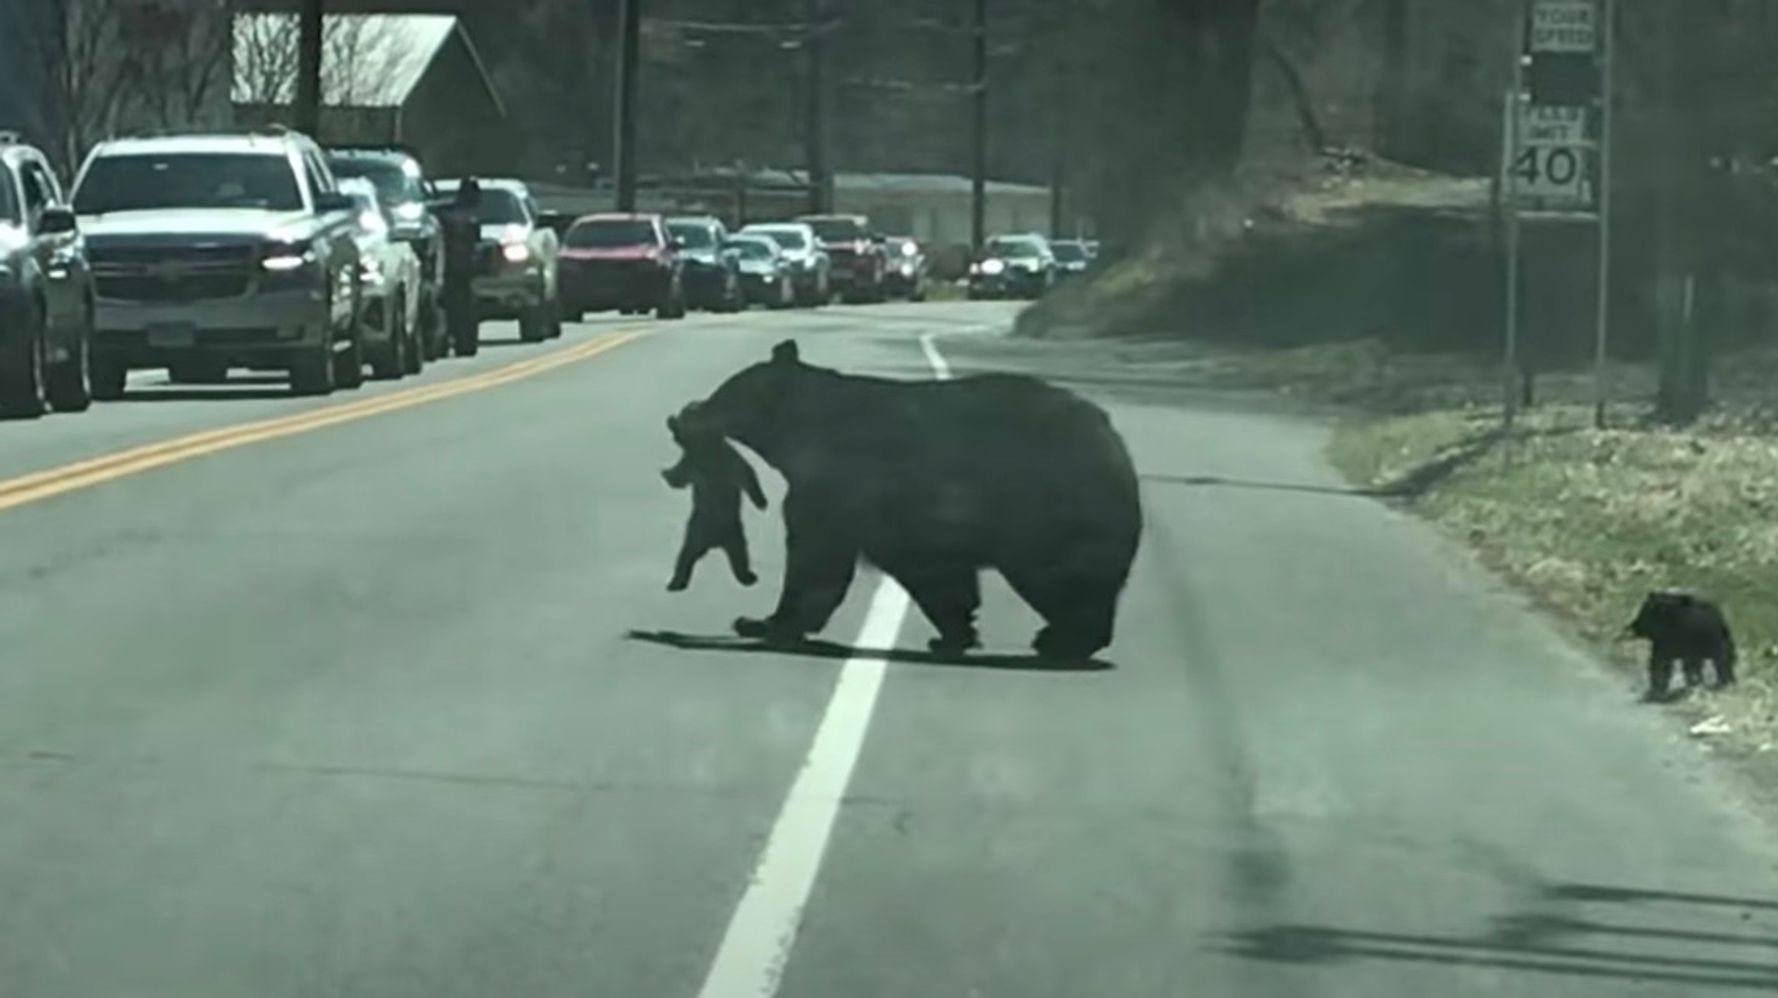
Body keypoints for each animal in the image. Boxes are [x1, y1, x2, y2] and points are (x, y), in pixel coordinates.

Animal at [672, 338, 1145, 658]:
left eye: (722, 394)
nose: (684, 413)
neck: (802, 430)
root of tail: (1116, 442)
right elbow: (933, 573)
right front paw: (954, 632)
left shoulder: (839, 485)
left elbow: (818, 558)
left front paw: (764, 622)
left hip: (1050, 510)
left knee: (1061, 577)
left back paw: (1065, 639)